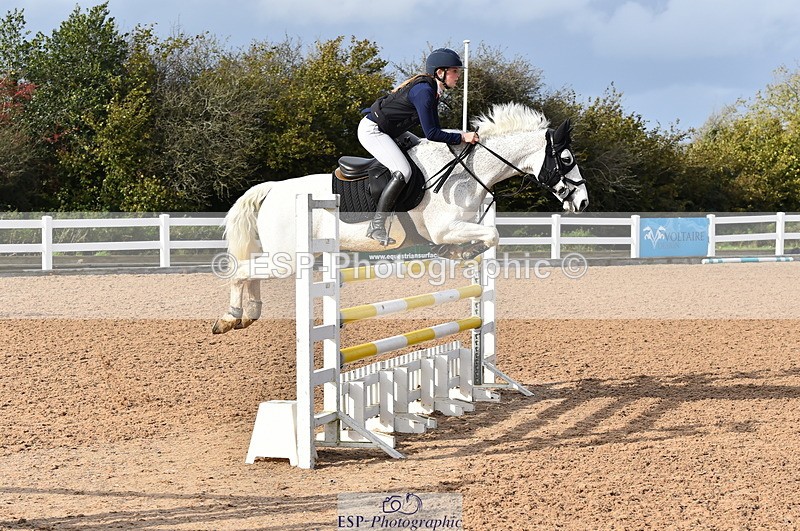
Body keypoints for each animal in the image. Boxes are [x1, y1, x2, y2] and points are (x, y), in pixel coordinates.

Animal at [212, 102, 588, 334]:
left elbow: (488, 236)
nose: (583, 202)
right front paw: (460, 252)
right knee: (242, 270)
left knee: (250, 270)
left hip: (283, 255)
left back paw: (250, 314)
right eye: (567, 159)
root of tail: (272, 190)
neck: (467, 171)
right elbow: (490, 237)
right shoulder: (444, 228)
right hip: (288, 258)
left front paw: (458, 253)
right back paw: (229, 318)